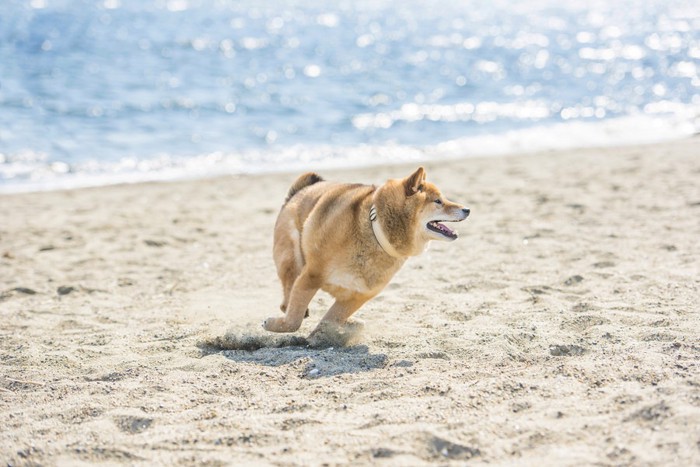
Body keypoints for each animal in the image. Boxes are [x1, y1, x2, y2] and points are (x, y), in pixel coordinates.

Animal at [262, 166, 470, 334]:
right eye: (438, 201)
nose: (467, 209)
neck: (375, 234)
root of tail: (300, 191)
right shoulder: (311, 276)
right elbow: (293, 322)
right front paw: (277, 324)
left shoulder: (358, 296)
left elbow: (329, 321)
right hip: (291, 259)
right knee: (287, 296)